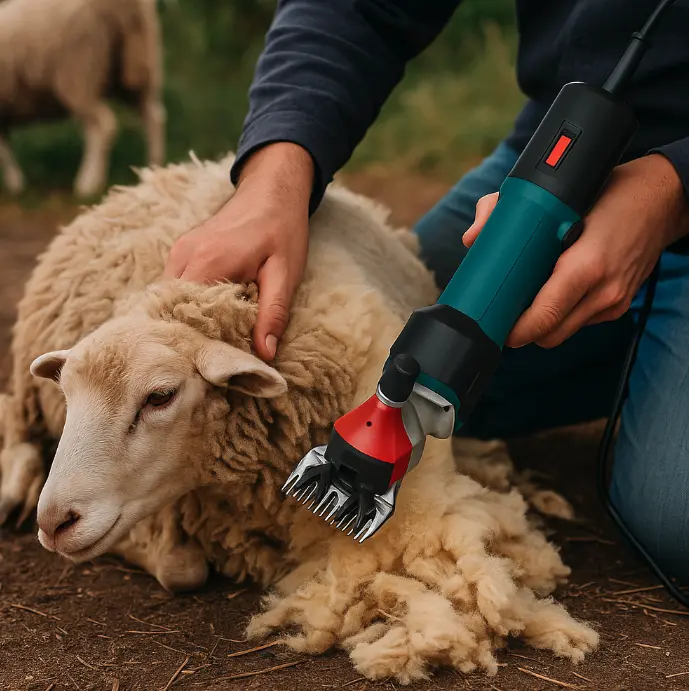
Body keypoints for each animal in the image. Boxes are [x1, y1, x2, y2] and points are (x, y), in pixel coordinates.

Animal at [0, 0, 165, 198]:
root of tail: (126, 9)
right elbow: (5, 145)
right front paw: (15, 183)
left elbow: (3, 149)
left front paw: (14, 183)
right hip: (137, 69)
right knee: (153, 117)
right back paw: (154, 169)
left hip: (80, 72)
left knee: (104, 124)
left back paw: (88, 183)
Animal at [0, 153, 598, 682]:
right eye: (68, 394)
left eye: (160, 397)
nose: (54, 523)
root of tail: (161, 171)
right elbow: (179, 567)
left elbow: (183, 569)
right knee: (15, 419)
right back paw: (15, 488)